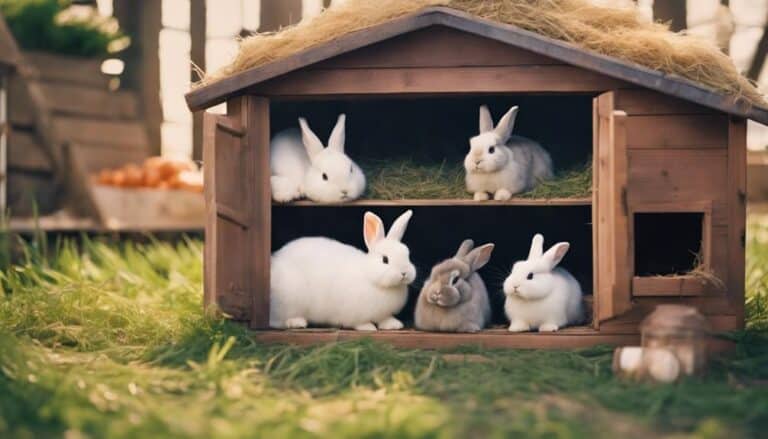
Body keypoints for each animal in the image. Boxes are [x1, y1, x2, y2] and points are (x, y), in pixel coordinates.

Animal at [270, 210, 416, 331]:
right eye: (385, 259)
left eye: (408, 254)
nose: (404, 273)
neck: (372, 278)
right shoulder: (354, 312)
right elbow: (359, 322)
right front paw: (368, 327)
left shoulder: (382, 314)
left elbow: (384, 319)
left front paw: (393, 325)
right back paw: (297, 322)